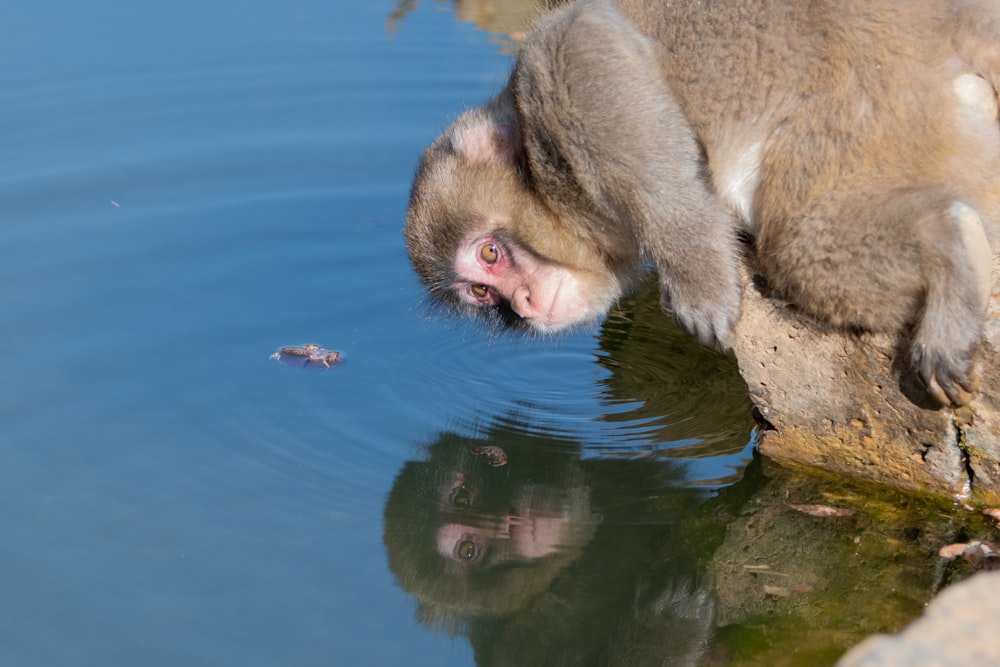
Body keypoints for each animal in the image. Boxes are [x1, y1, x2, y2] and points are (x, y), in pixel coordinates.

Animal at [402, 0, 1000, 408]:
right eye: (483, 293)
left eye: (489, 254)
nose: (523, 303)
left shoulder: (550, 94)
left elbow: (586, 48)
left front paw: (699, 281)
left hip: (873, 103)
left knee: (800, 249)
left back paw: (949, 240)